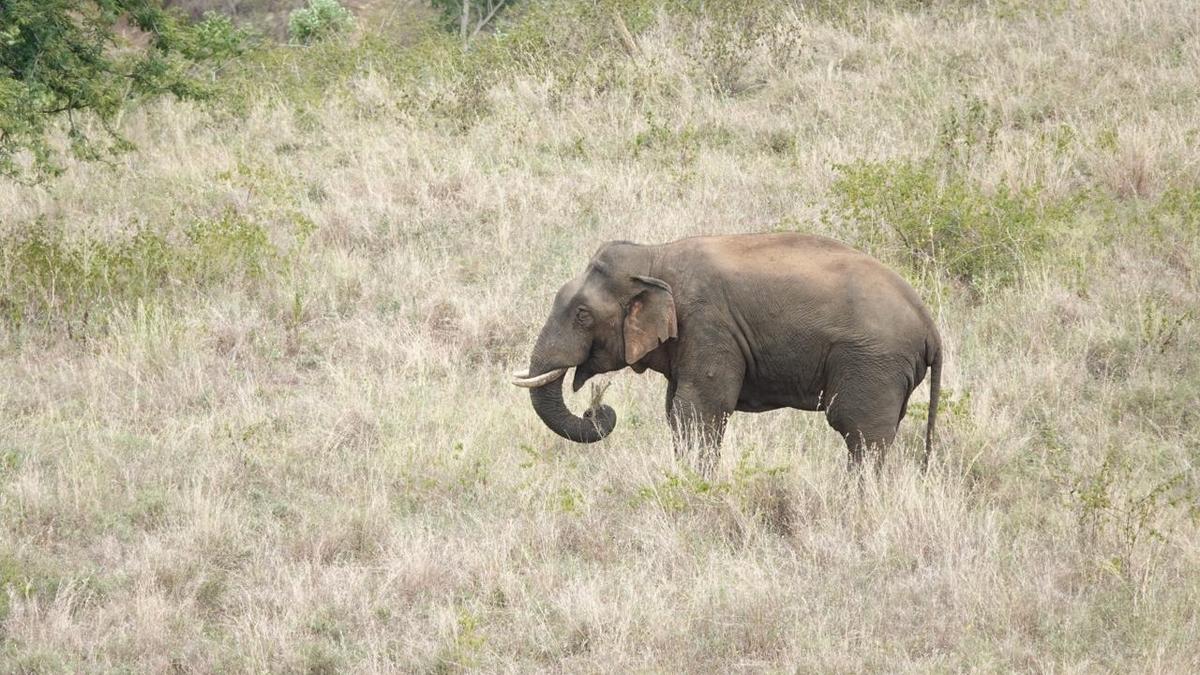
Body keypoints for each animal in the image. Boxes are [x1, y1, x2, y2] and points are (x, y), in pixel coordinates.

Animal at [511, 233, 943, 475]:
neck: (656, 256)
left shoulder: (709, 325)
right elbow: (676, 412)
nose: (596, 409)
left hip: (874, 363)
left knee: (861, 434)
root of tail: (930, 324)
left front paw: (696, 484)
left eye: (582, 315)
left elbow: (698, 409)